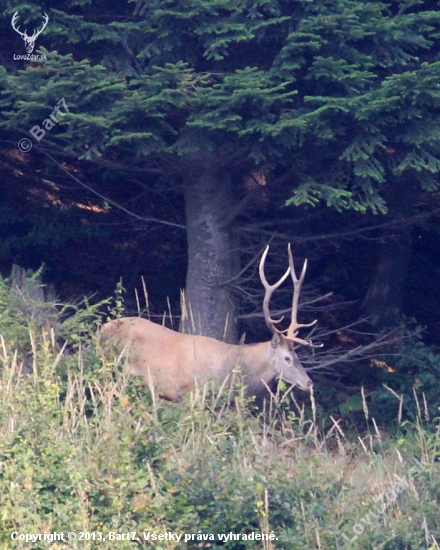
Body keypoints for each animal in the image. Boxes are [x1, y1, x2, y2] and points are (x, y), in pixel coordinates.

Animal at [101, 246, 318, 402]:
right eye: (287, 358)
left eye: (297, 355)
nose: (309, 383)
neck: (228, 373)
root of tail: (101, 329)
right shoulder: (188, 392)